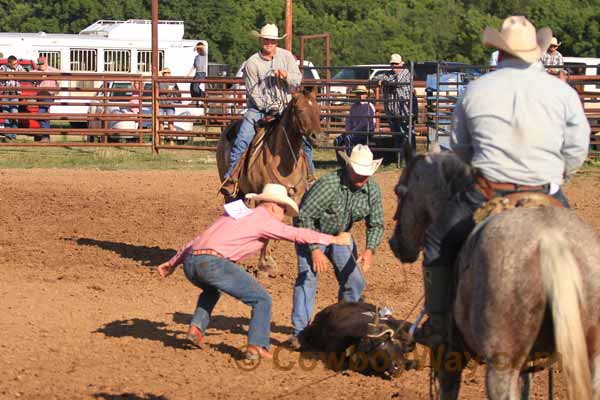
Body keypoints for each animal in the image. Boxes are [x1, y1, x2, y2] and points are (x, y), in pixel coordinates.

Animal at [217, 86, 326, 276]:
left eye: (318, 110)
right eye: (299, 109)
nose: (317, 138)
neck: (284, 161)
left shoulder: (295, 199)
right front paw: (265, 265)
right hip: (231, 193)